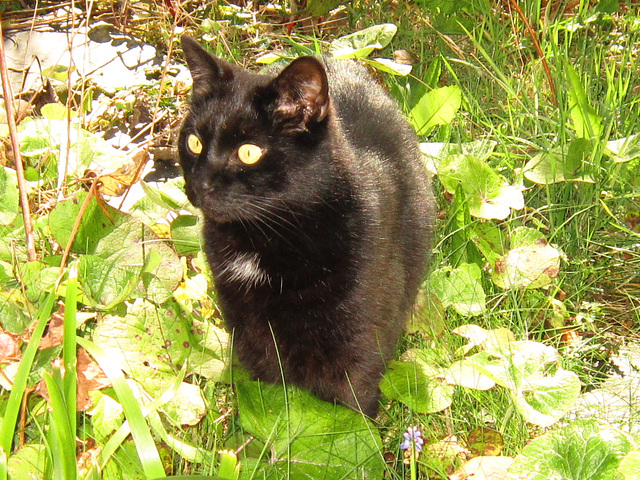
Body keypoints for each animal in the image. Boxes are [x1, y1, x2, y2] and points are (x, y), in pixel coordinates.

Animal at [178, 35, 432, 416]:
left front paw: (353, 429)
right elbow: (267, 389)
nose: (201, 184)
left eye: (248, 152)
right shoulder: (247, 327)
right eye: (194, 142)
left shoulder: (358, 336)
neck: (267, 236)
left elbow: (351, 400)